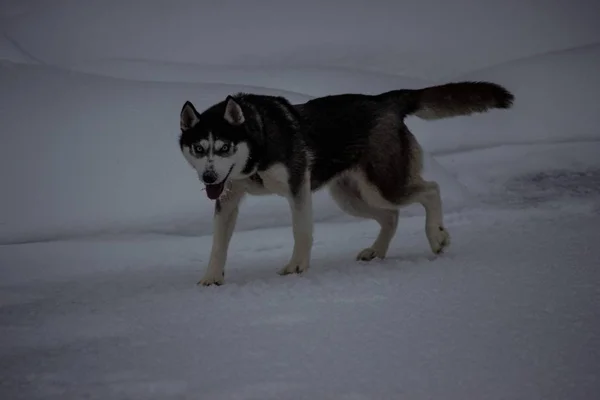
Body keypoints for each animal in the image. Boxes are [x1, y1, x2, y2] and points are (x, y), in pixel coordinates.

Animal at [180, 81, 512, 284]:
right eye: (199, 148)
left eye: (224, 147)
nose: (209, 177)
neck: (258, 144)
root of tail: (385, 100)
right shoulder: (227, 199)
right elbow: (218, 244)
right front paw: (212, 277)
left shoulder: (298, 188)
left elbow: (301, 231)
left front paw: (297, 266)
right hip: (351, 197)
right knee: (391, 216)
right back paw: (377, 250)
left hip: (385, 185)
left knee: (431, 190)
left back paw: (436, 236)